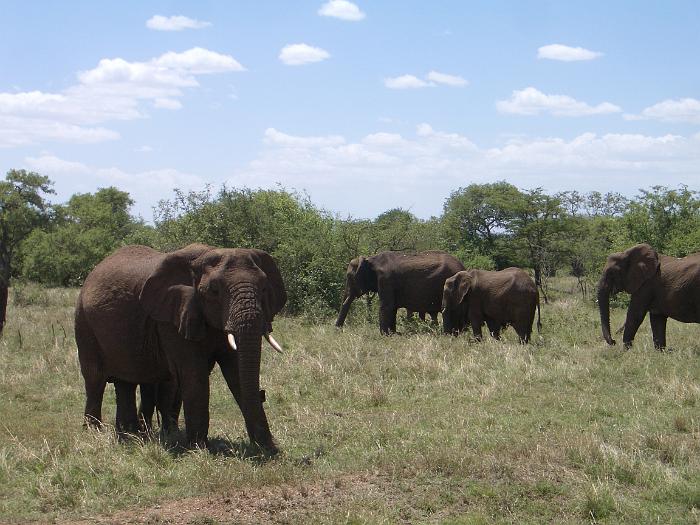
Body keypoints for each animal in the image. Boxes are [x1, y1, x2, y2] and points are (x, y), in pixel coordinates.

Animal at [75, 244, 286, 452]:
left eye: (264, 288)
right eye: (214, 291)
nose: (263, 394)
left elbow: (236, 372)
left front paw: (266, 448)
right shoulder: (172, 318)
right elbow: (193, 374)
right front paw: (199, 449)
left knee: (125, 381)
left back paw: (130, 435)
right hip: (83, 321)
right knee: (94, 378)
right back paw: (95, 432)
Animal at [334, 251, 464, 334]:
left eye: (349, 277)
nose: (338, 331)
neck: (370, 259)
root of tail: (462, 266)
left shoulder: (386, 279)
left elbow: (386, 306)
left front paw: (384, 335)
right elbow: (392, 308)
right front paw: (392, 334)